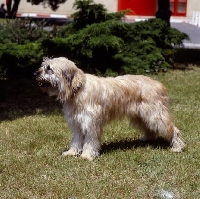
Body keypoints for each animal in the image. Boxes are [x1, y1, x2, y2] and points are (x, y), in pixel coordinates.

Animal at [33, 56, 185, 161]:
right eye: (43, 66)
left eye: (49, 68)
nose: (35, 73)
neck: (78, 89)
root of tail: (158, 84)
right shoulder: (77, 123)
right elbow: (76, 140)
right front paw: (72, 152)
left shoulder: (91, 123)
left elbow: (90, 140)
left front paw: (87, 155)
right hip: (140, 116)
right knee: (150, 129)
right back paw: (147, 139)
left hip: (155, 115)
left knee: (173, 129)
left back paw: (177, 147)